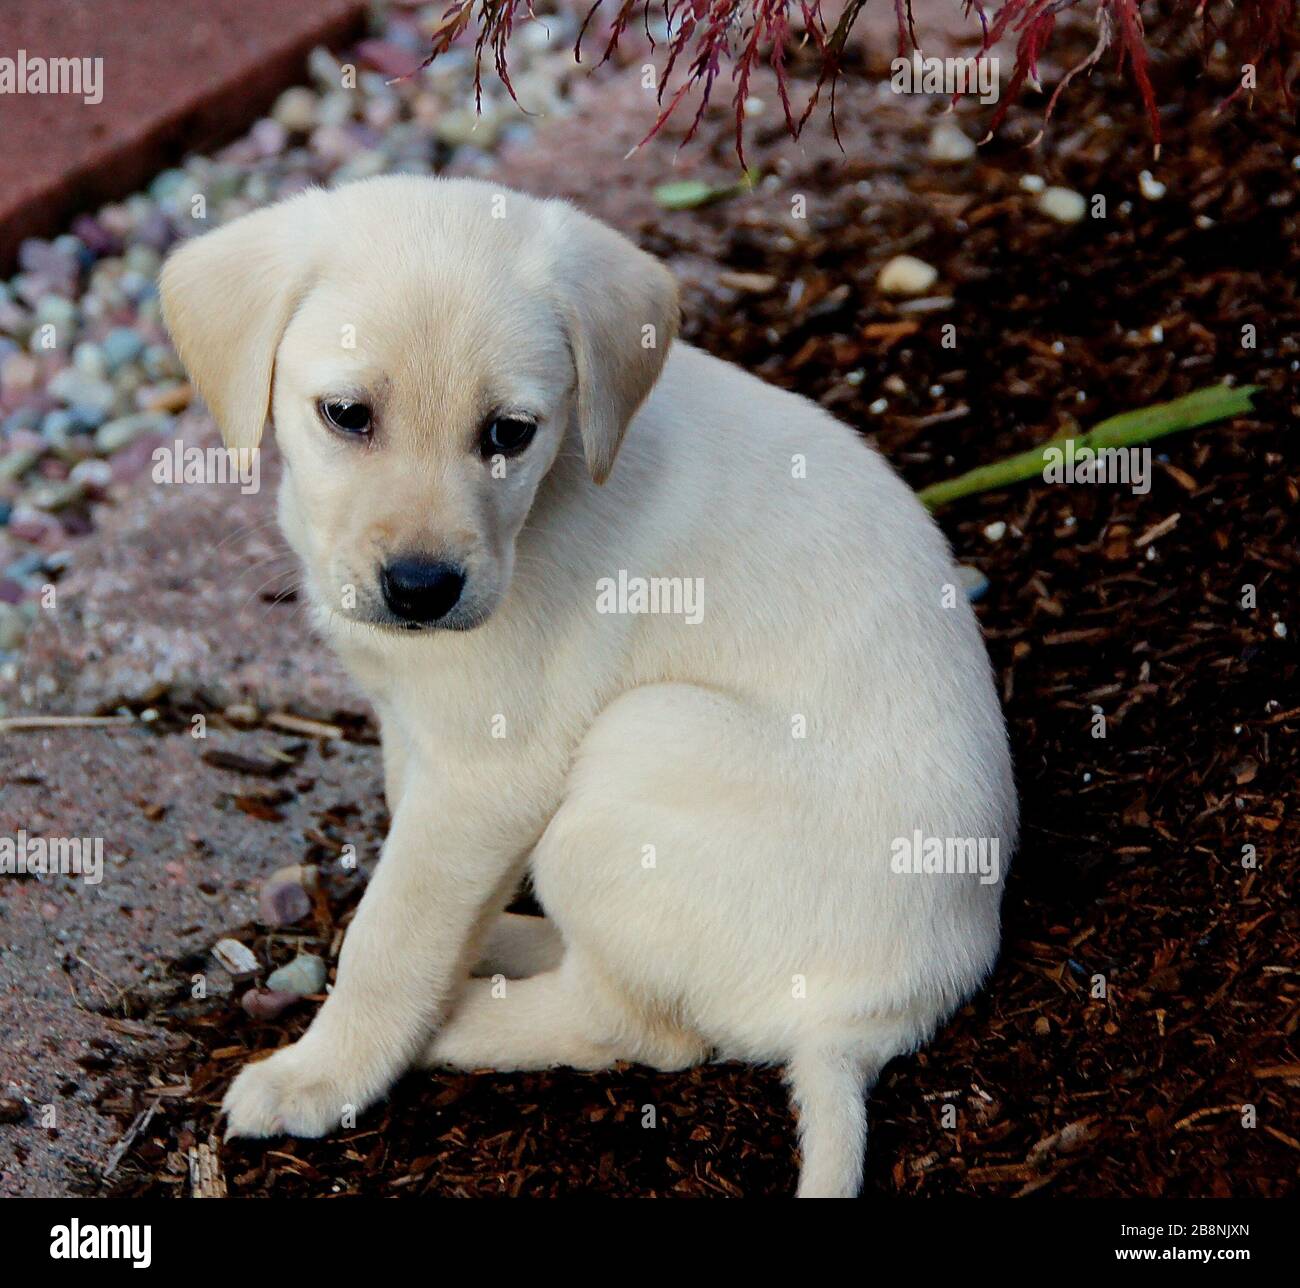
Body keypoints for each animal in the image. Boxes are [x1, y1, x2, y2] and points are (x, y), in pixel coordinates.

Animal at [159, 179, 1013, 1200]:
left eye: (509, 434)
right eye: (347, 415)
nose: (421, 588)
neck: (548, 496)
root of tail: (873, 1024)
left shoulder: (487, 768)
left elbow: (395, 933)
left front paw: (324, 1073)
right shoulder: (413, 724)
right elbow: (421, 872)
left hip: (643, 742)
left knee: (644, 1030)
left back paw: (463, 1025)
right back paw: (505, 941)